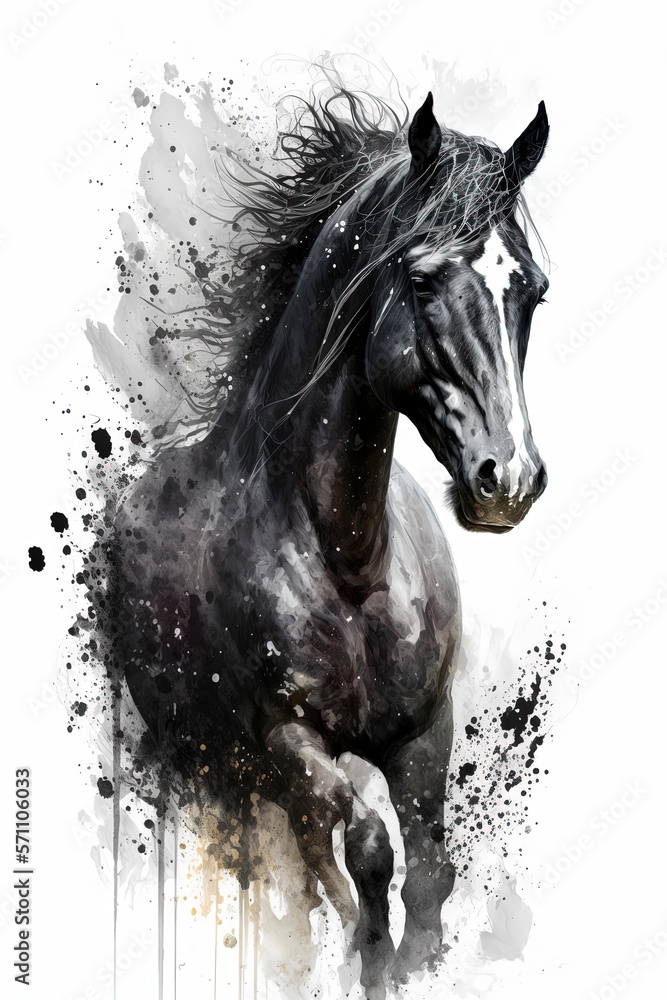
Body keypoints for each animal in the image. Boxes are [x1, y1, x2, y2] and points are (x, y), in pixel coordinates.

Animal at [103, 88, 550, 998]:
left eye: (532, 291)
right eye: (422, 277)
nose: (508, 481)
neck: (348, 561)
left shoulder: (423, 734)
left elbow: (427, 879)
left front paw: (409, 962)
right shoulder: (289, 739)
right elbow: (372, 852)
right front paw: (370, 962)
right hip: (205, 761)